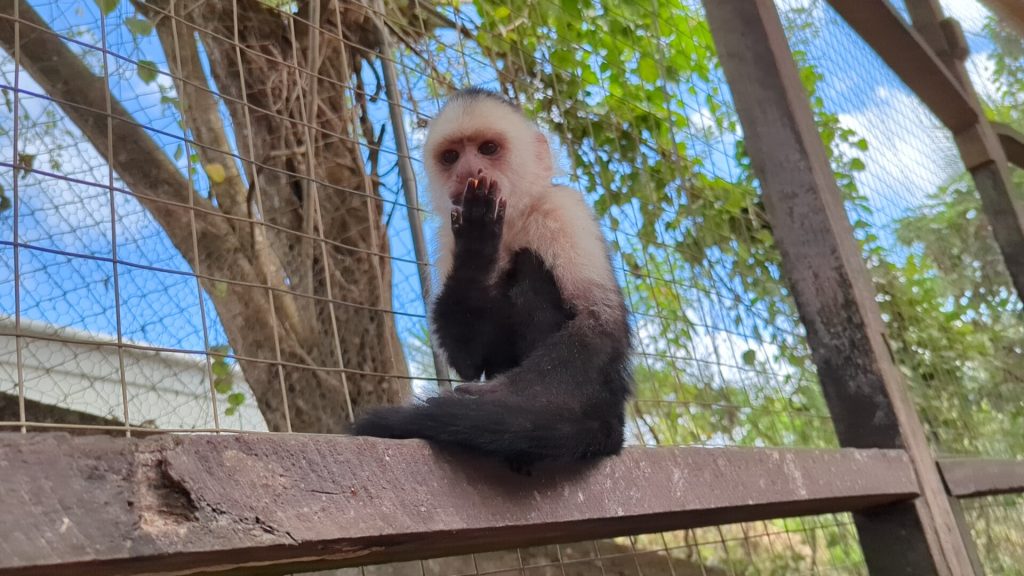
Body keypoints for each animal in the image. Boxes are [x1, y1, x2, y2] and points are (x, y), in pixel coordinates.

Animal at [352, 86, 630, 471]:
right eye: (451, 156)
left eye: (487, 149)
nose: (468, 170)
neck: (513, 219)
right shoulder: (446, 236)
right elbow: (467, 360)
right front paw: (477, 243)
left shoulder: (562, 210)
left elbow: (597, 321)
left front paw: (493, 396)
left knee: (530, 266)